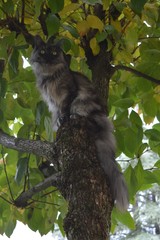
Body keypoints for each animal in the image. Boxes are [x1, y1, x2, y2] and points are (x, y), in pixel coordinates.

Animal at [30, 34, 129, 211]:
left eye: (54, 52)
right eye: (42, 51)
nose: (48, 57)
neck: (49, 77)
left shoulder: (70, 93)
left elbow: (66, 109)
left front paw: (65, 118)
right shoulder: (53, 105)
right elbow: (59, 113)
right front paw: (61, 120)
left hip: (83, 104)